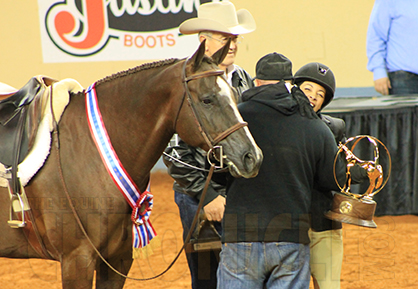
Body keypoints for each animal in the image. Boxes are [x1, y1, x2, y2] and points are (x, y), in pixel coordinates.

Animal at [0, 41, 262, 288]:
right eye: (207, 100)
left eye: (234, 94)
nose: (252, 156)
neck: (90, 155)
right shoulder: (76, 260)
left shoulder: (117, 260)